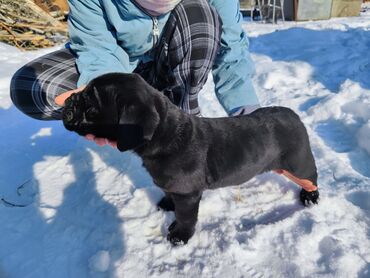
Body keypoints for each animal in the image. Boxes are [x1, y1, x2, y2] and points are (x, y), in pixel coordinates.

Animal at [62, 73, 320, 245]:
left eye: (91, 106)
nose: (67, 101)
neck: (164, 135)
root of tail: (293, 114)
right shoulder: (173, 185)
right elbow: (169, 195)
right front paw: (167, 204)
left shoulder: (188, 194)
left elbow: (185, 217)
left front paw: (179, 236)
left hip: (298, 163)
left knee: (312, 177)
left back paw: (310, 197)